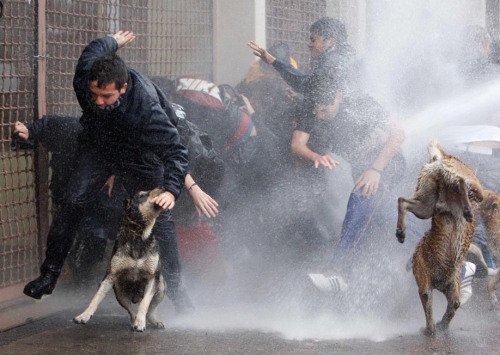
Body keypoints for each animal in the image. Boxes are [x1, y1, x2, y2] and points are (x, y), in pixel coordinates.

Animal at [73, 188, 166, 332]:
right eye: (142, 195)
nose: (162, 187)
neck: (138, 236)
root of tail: (135, 297)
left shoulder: (152, 278)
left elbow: (145, 304)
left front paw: (141, 323)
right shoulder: (110, 277)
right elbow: (95, 298)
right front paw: (84, 315)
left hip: (161, 287)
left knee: (149, 309)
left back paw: (153, 321)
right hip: (120, 292)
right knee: (131, 311)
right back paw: (134, 321)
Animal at [396, 140, 482, 336]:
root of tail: (442, 157)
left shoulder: (446, 288)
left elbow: (451, 307)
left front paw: (439, 325)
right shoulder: (432, 284)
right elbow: (447, 308)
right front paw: (437, 326)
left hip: (426, 205)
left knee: (403, 200)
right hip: (429, 203)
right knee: (463, 184)